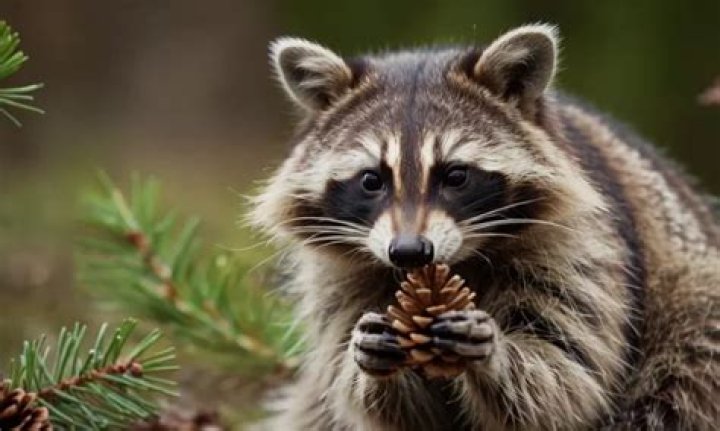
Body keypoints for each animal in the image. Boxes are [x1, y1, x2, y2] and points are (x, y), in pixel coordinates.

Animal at [250, 24, 720, 430]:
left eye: (456, 176)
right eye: (371, 180)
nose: (409, 251)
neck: (459, 259)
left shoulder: (580, 244)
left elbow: (566, 377)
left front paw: (495, 355)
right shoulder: (339, 275)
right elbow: (378, 399)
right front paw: (368, 363)